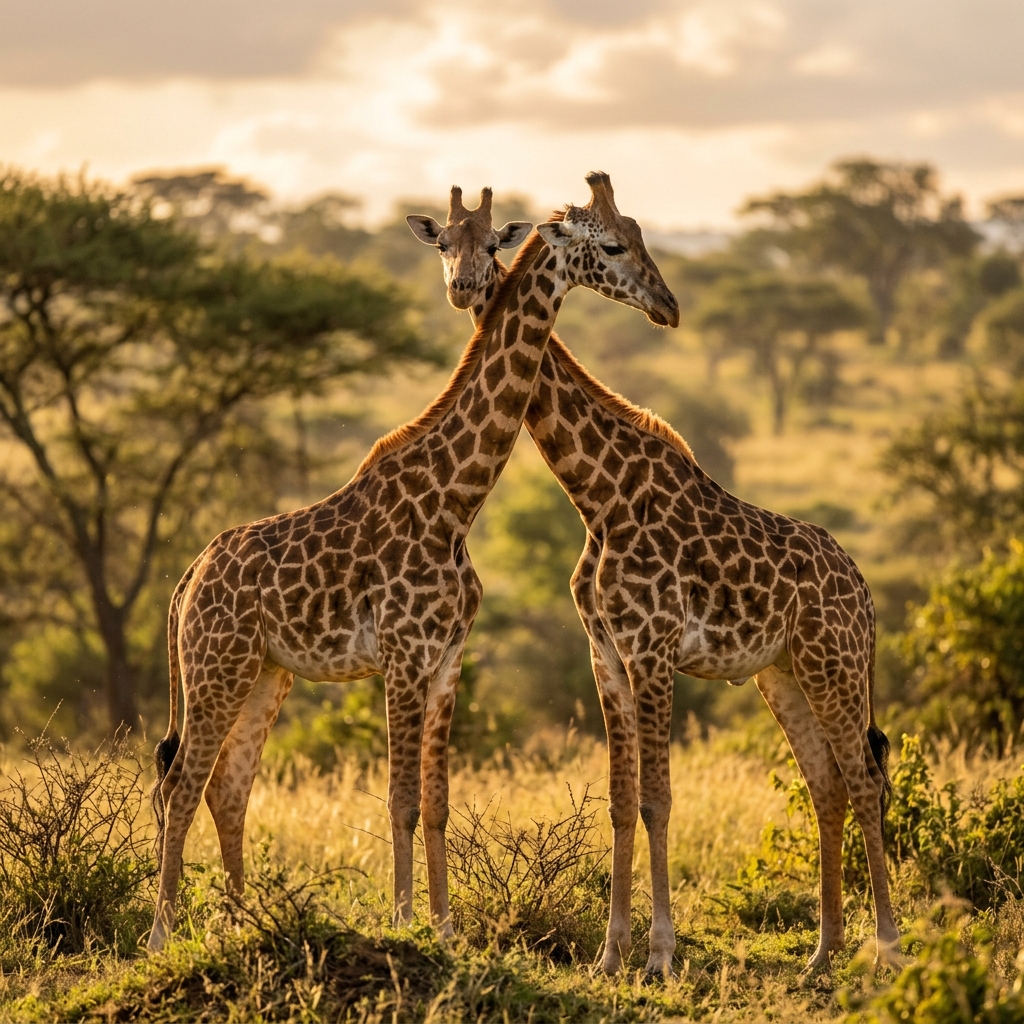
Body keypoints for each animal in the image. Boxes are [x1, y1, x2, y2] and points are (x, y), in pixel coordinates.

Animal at [146, 172, 679, 953]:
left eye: (639, 237)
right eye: (611, 246)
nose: (668, 305)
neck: (454, 501)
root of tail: (188, 579)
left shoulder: (447, 656)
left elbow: (436, 802)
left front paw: (446, 929)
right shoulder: (401, 653)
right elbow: (398, 799)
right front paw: (402, 923)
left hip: (265, 673)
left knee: (226, 785)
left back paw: (239, 924)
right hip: (217, 667)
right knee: (180, 781)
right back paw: (162, 935)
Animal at [408, 185, 901, 976]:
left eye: (491, 245)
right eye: (443, 244)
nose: (667, 306)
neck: (600, 496)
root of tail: (863, 591)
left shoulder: (655, 647)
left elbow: (659, 798)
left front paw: (661, 955)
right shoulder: (606, 652)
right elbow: (620, 798)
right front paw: (611, 956)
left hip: (837, 664)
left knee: (864, 778)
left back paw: (886, 948)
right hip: (782, 674)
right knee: (826, 784)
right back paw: (823, 954)